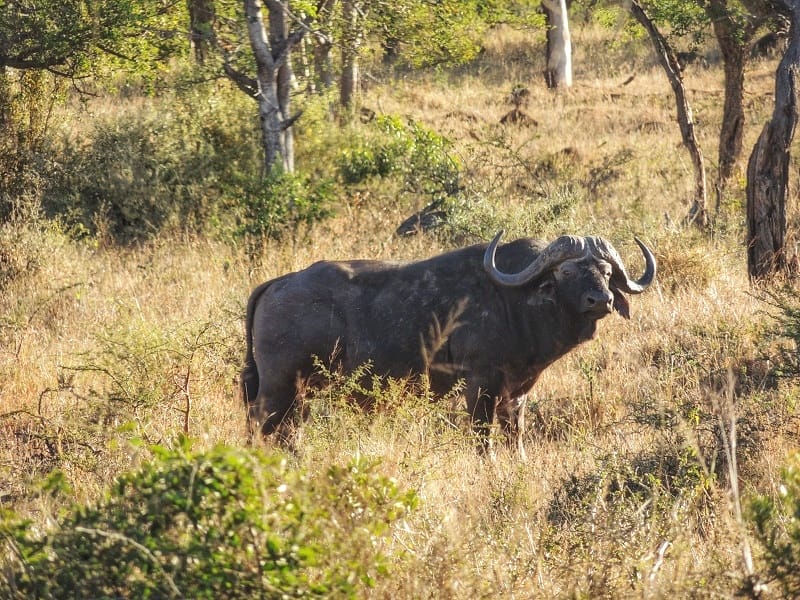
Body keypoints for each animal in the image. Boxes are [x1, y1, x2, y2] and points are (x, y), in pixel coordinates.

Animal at [242, 231, 656, 454]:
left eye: (605, 271)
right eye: (567, 270)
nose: (601, 300)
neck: (516, 300)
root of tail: (278, 284)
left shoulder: (517, 392)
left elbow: (515, 435)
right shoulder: (481, 385)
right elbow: (482, 436)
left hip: (300, 392)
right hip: (279, 386)